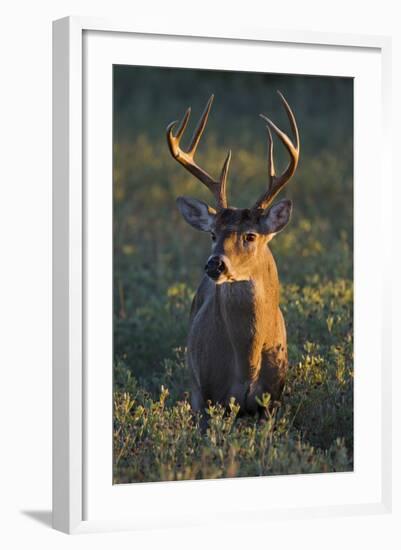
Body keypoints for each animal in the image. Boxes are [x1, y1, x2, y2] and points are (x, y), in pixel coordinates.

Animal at [164, 92, 298, 424]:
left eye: (249, 236)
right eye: (212, 234)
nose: (215, 263)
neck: (247, 363)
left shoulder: (272, 401)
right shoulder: (208, 396)